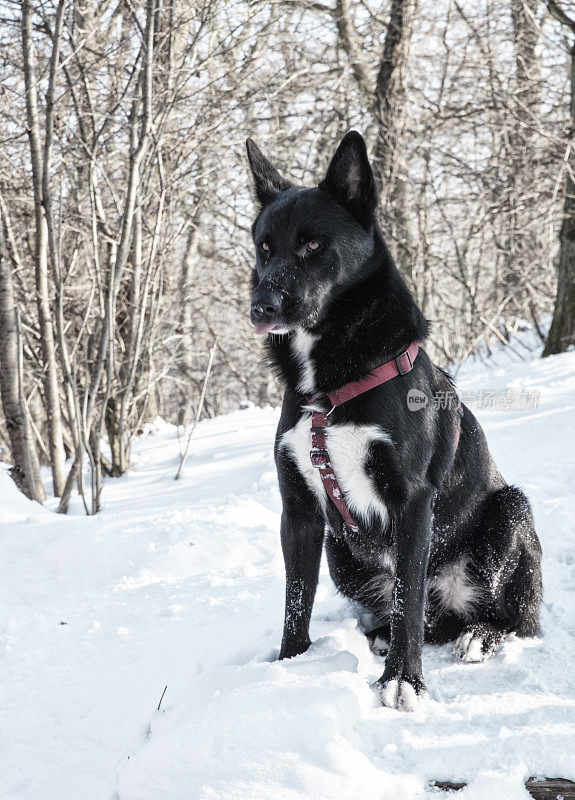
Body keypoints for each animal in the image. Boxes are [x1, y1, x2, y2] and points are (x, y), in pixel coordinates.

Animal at [245, 133, 544, 712]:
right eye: (264, 248)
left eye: (312, 245)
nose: (260, 307)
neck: (330, 387)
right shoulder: (300, 512)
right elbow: (296, 600)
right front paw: (290, 667)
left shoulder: (411, 500)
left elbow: (408, 598)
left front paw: (403, 681)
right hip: (341, 551)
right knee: (417, 616)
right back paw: (379, 634)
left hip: (510, 511)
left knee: (511, 620)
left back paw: (480, 635)